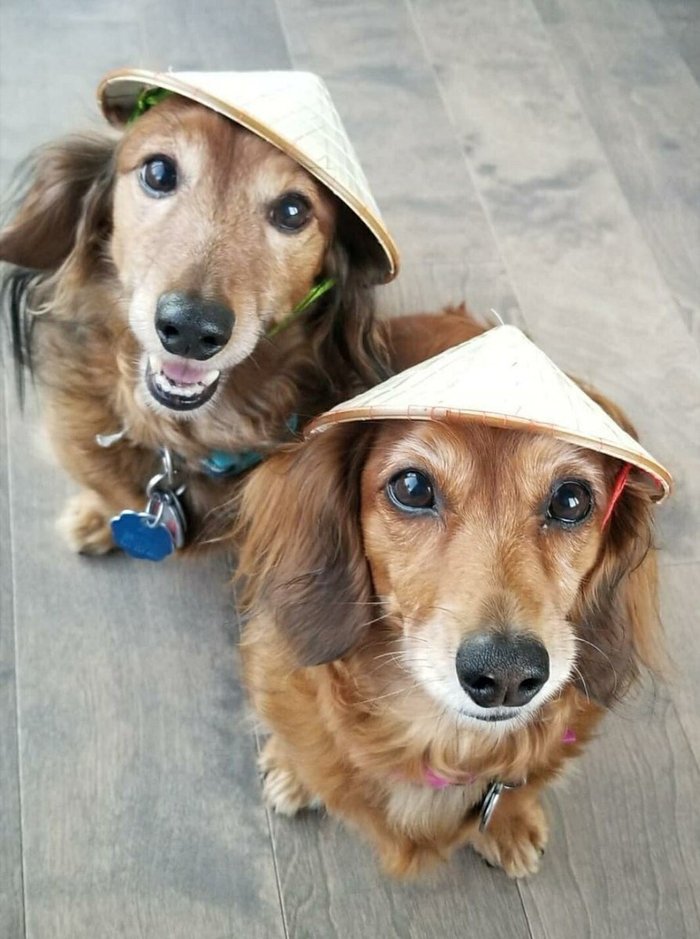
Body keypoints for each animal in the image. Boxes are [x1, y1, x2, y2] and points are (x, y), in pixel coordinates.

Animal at [238, 320, 664, 876]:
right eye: (412, 487)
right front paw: (294, 770)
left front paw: (510, 822)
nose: (507, 675)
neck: (439, 736)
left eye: (572, 500)